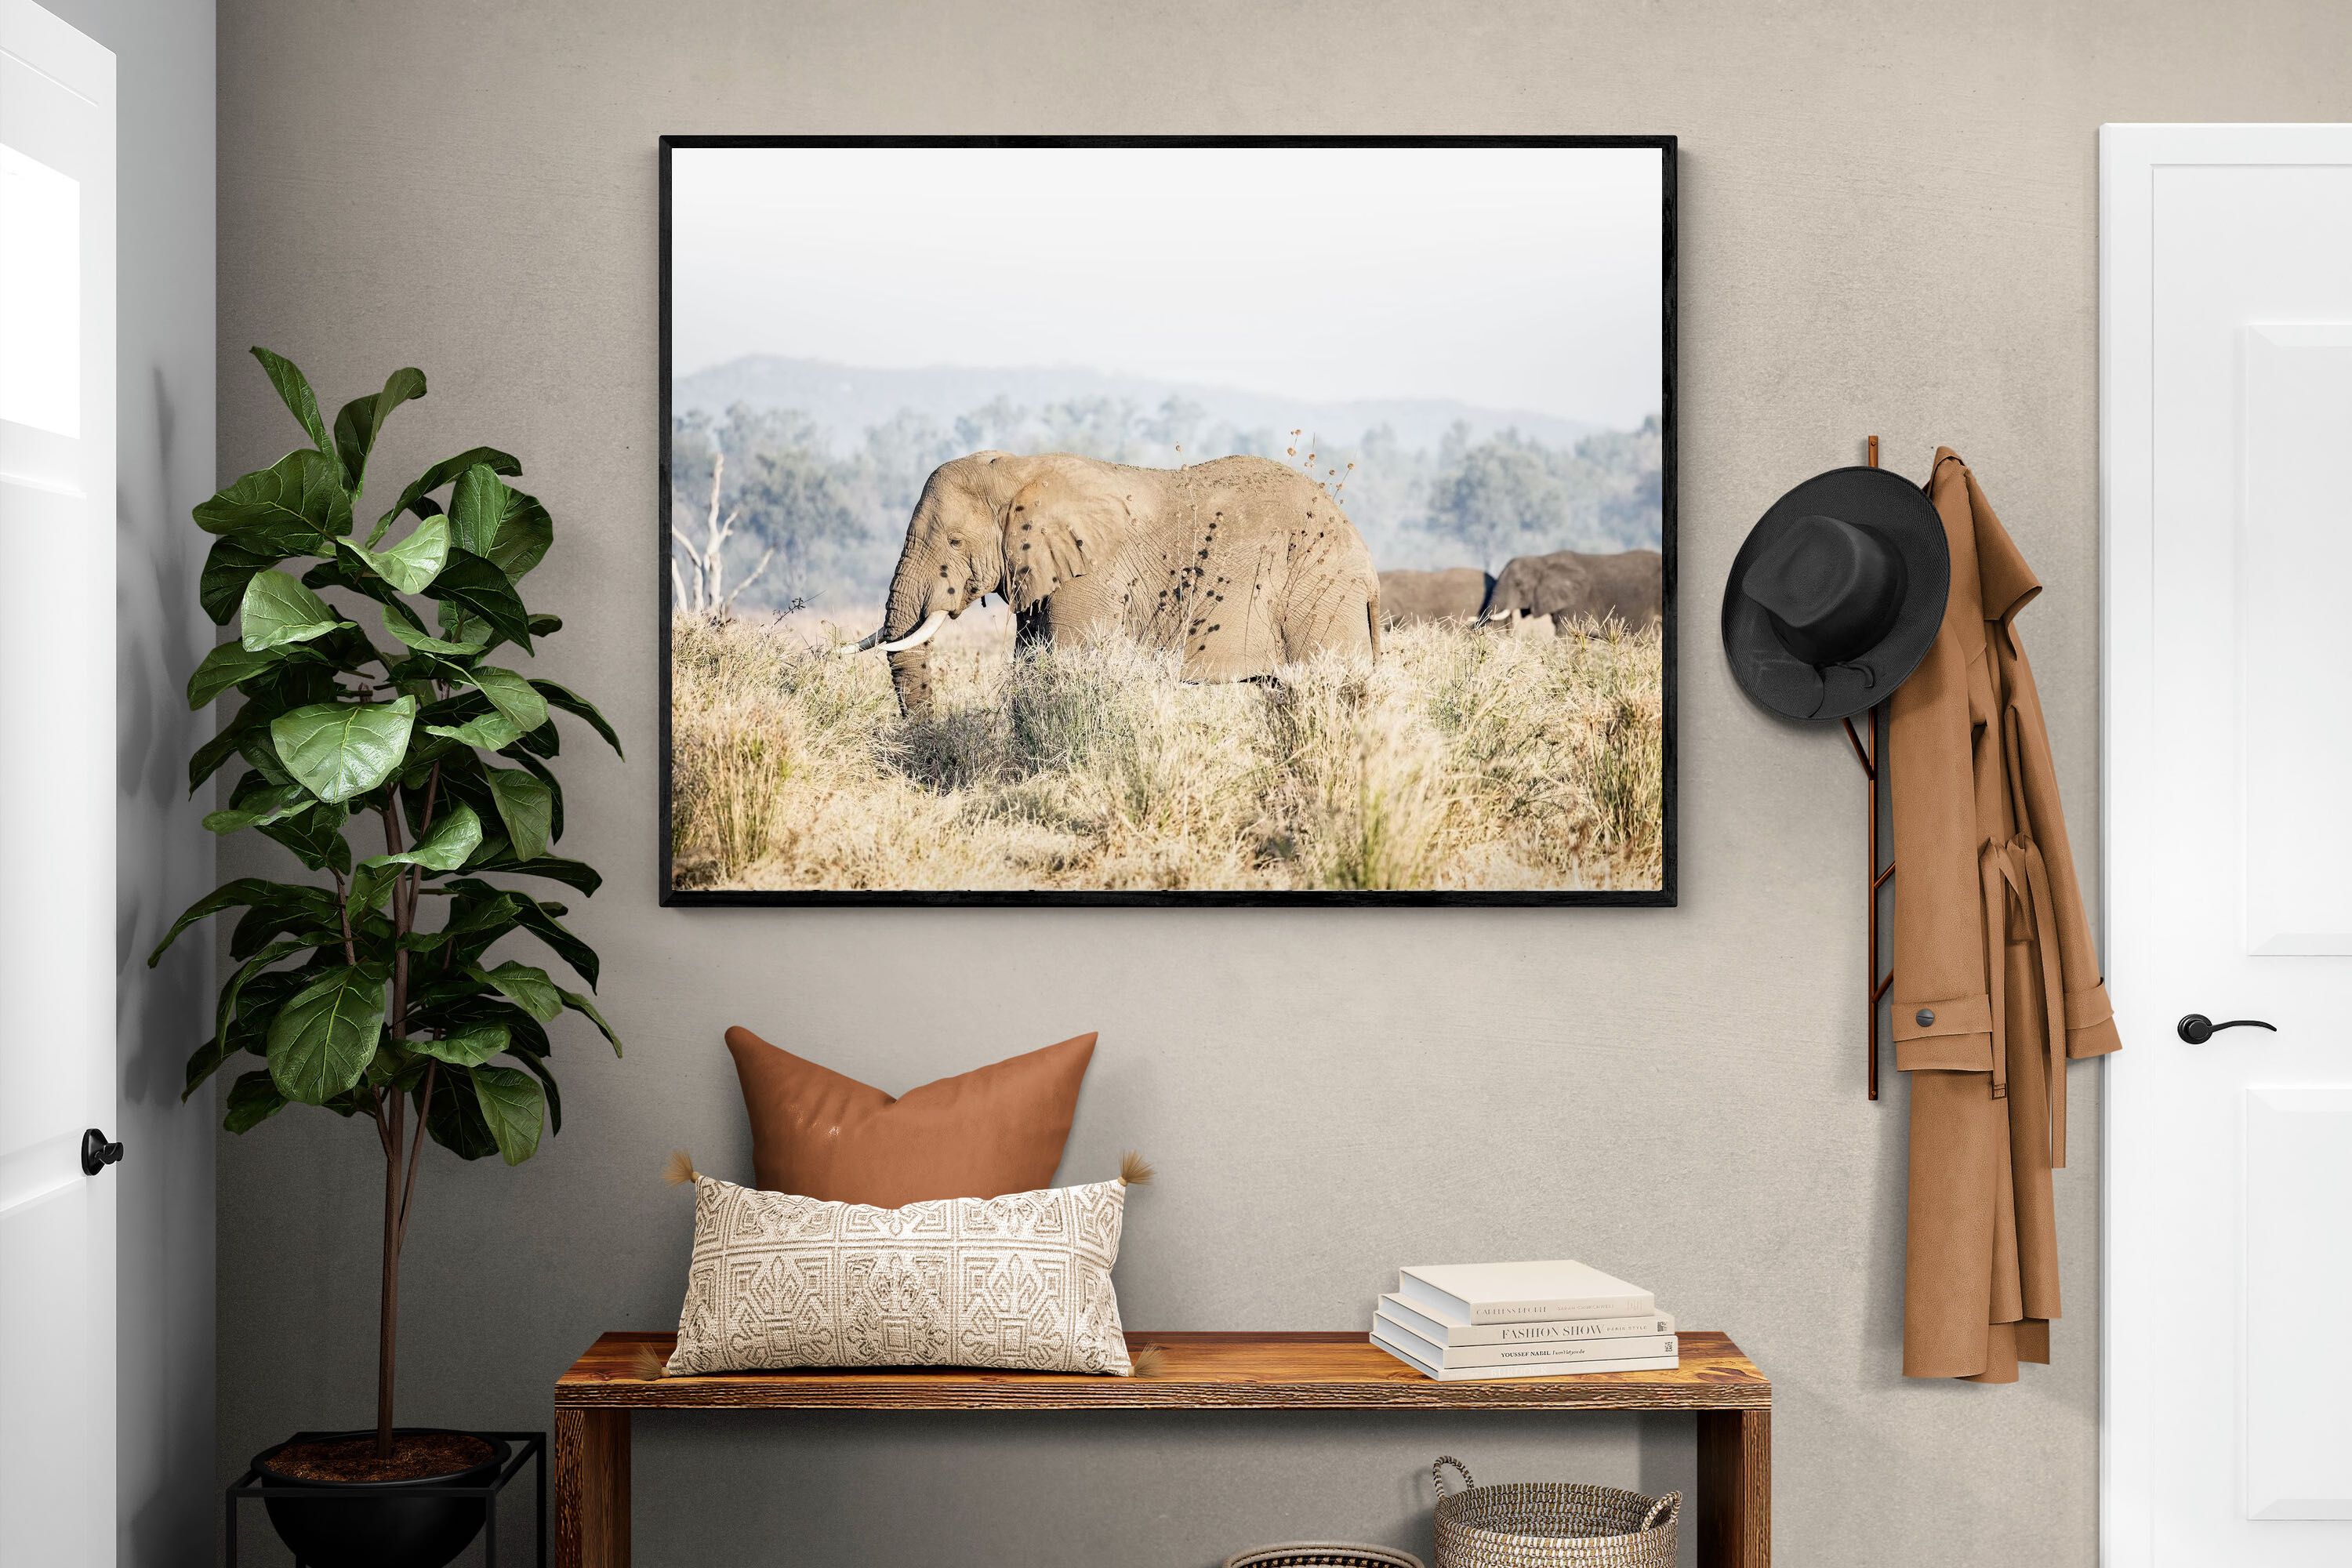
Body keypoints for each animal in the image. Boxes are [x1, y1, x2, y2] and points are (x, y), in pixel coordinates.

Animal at [843, 451, 1382, 714]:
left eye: (954, 542)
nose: (927, 749)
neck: (1020, 469)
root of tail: (1368, 565)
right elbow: (1031, 666)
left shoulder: (1091, 577)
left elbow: (1064, 666)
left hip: (1318, 595)